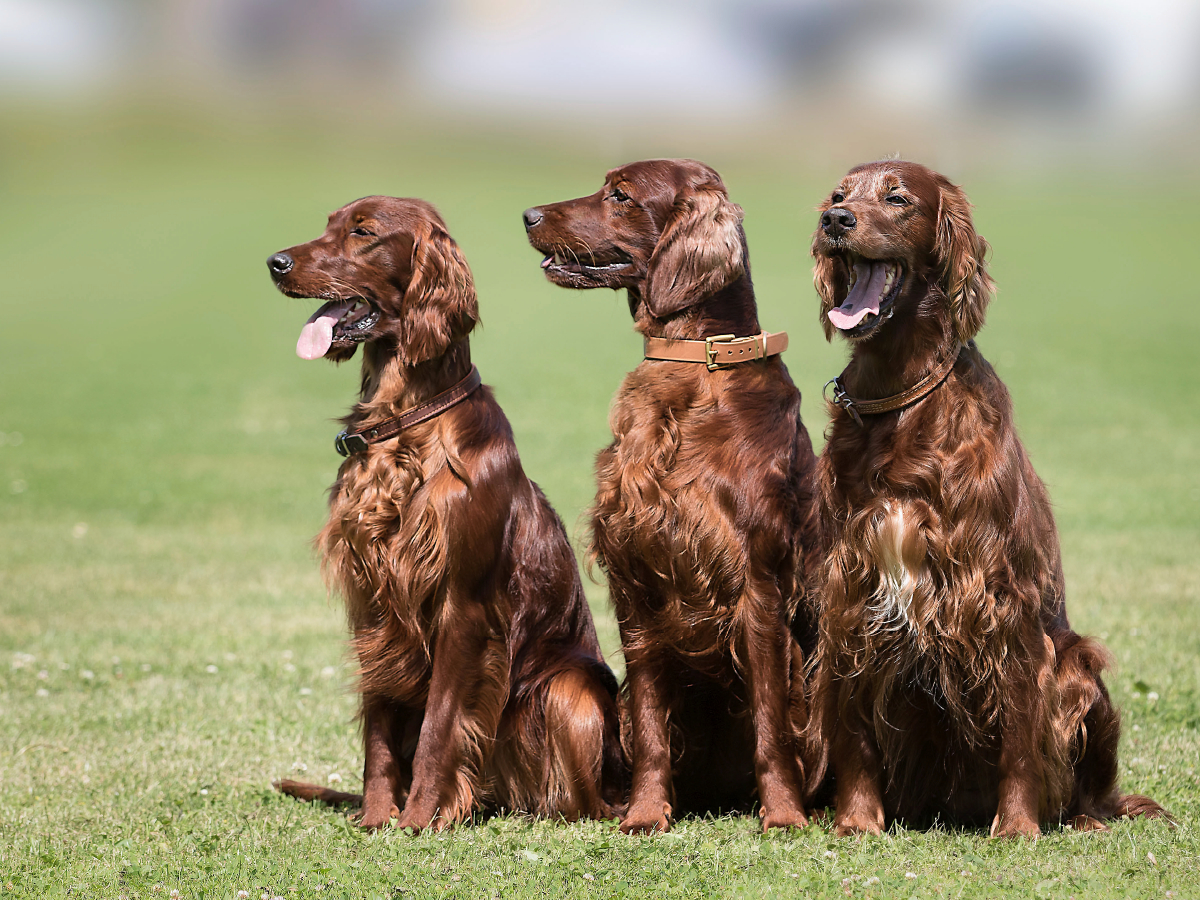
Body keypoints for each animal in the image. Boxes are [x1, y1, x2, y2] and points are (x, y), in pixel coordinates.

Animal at [262, 195, 619, 830]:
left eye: (363, 232)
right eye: (328, 225)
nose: (274, 263)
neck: (406, 423)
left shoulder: (463, 606)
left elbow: (440, 724)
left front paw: (418, 818)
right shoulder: (375, 599)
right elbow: (379, 729)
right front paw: (377, 816)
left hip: (568, 692)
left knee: (582, 804)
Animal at [525, 158, 825, 835]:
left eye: (621, 195)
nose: (527, 214)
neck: (694, 367)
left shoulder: (759, 583)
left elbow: (771, 722)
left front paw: (783, 814)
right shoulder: (637, 581)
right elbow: (650, 723)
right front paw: (645, 812)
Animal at [806, 160, 1161, 840]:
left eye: (898, 197)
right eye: (838, 194)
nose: (835, 220)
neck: (901, 400)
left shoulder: (999, 594)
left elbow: (1021, 732)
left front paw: (1017, 827)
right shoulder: (851, 589)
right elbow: (855, 732)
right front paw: (856, 822)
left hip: (1079, 668)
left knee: (1090, 790)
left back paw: (1078, 818)